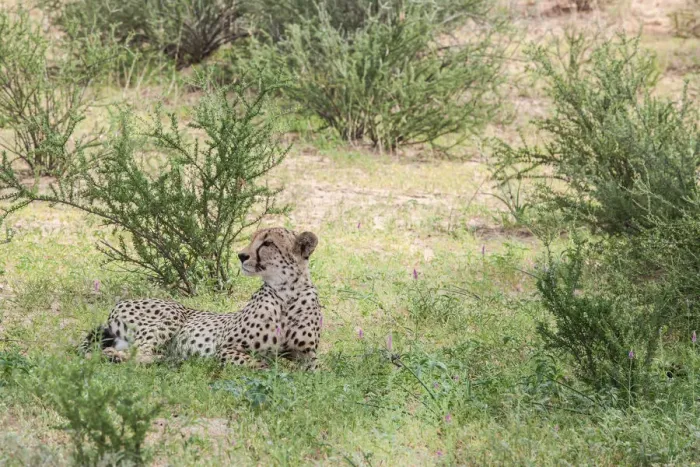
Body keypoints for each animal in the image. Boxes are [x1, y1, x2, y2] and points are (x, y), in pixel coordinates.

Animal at [80, 228, 322, 370]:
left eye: (268, 243)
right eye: (253, 239)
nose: (241, 255)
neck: (286, 293)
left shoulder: (308, 354)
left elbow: (315, 369)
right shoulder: (226, 348)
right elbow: (262, 364)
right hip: (172, 314)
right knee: (137, 352)